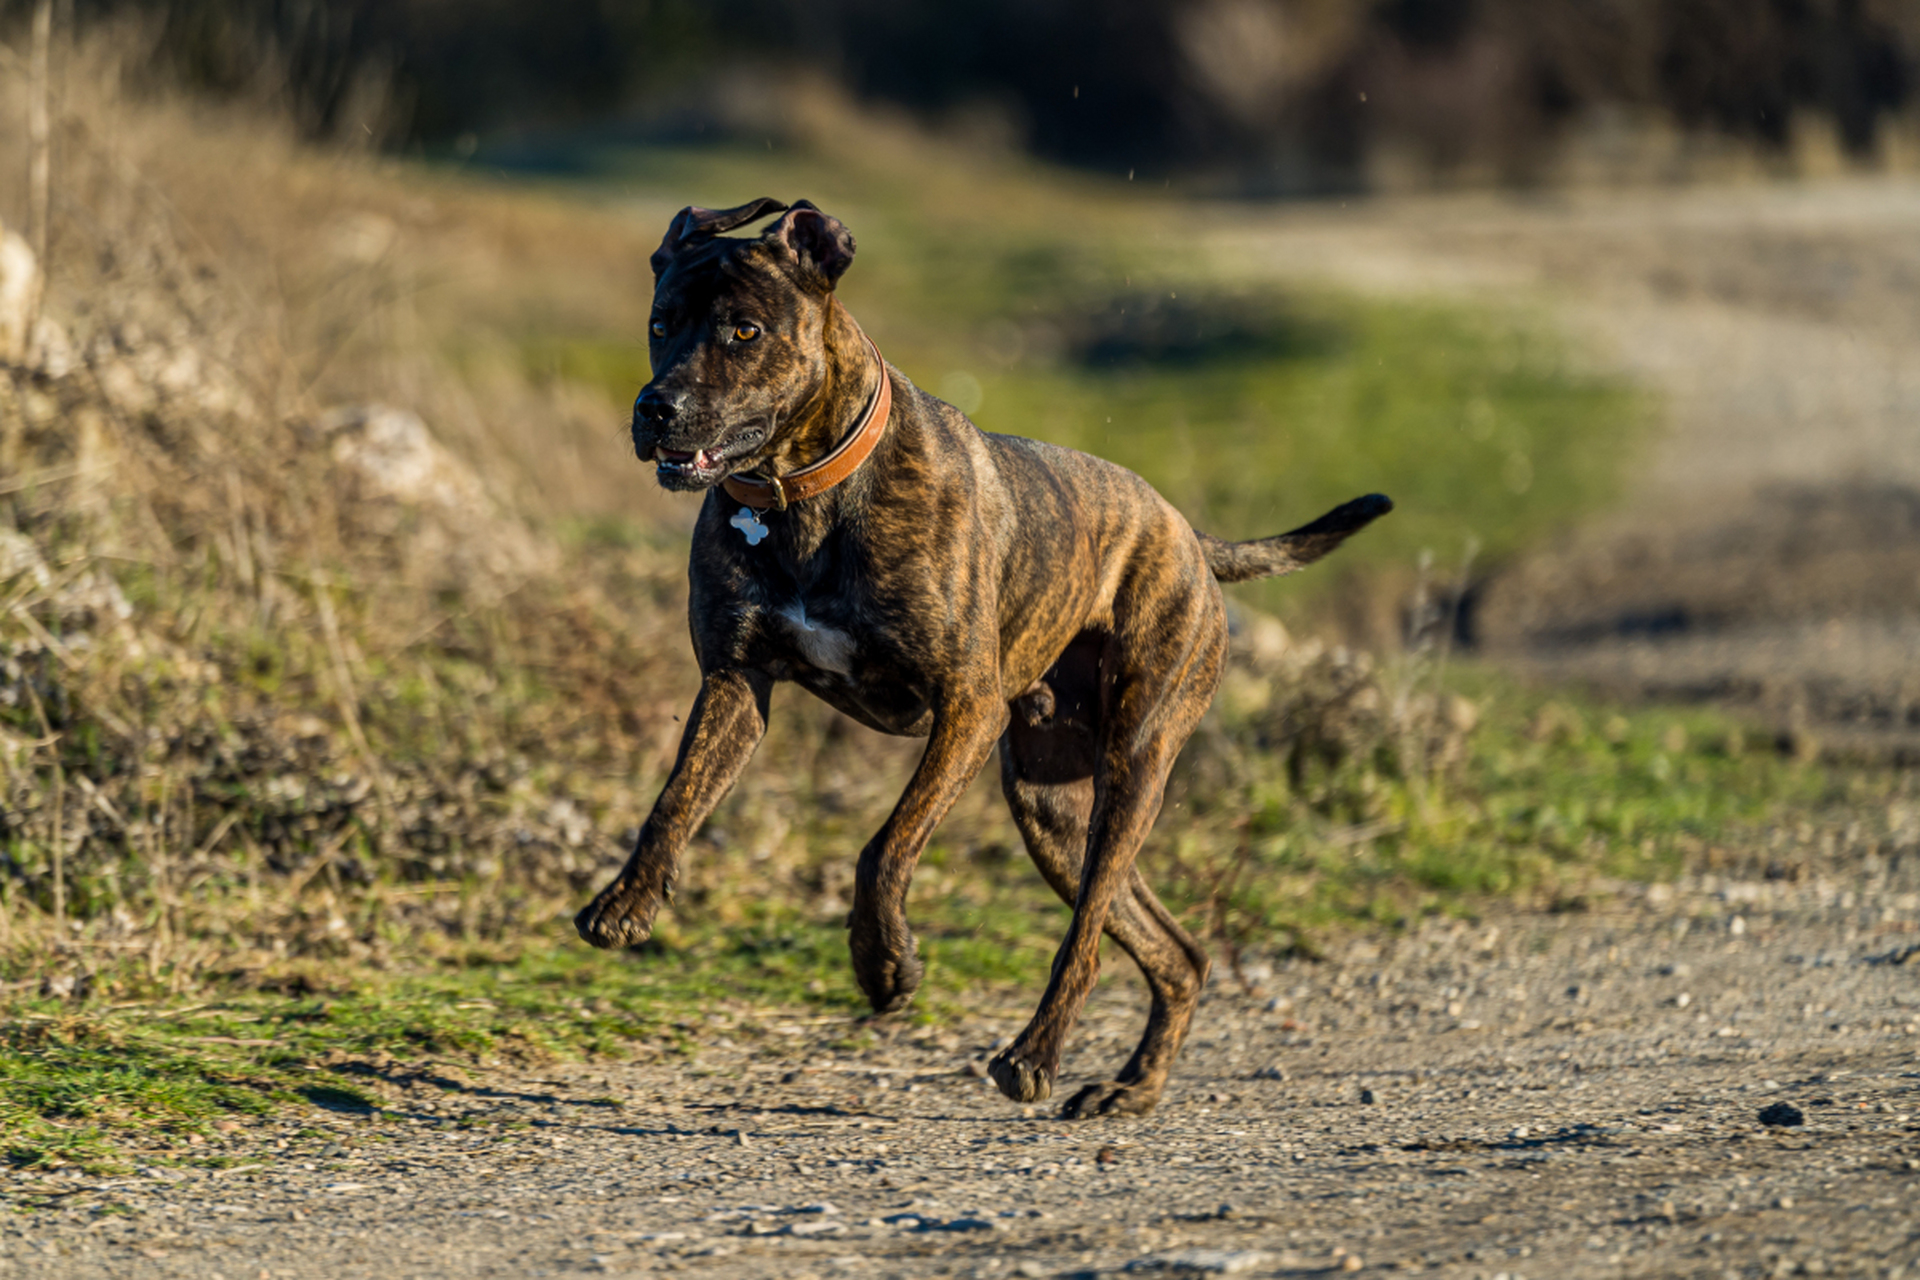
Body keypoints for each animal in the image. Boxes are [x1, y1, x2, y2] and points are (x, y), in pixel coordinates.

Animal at [572, 195, 1397, 1113]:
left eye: (745, 332)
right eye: (660, 324)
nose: (657, 408)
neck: (802, 491)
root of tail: (1187, 533)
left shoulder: (966, 708)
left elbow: (884, 848)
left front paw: (885, 965)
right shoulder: (735, 685)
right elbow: (674, 800)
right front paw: (627, 902)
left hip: (1133, 768)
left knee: (1087, 937)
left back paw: (1035, 1055)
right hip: (1050, 808)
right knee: (1175, 951)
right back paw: (1132, 1089)